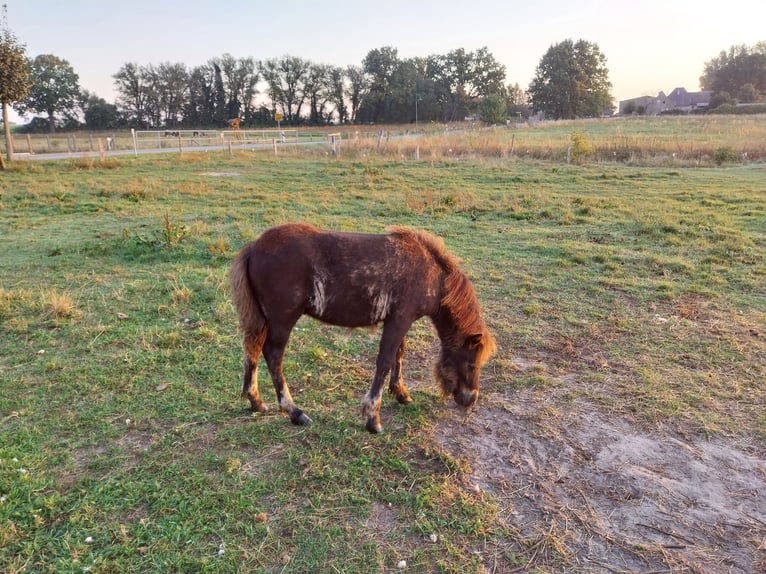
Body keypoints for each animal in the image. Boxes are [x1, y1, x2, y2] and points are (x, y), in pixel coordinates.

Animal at [231, 223, 498, 434]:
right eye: (472, 363)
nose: (470, 399)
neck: (431, 274)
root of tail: (254, 248)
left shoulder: (397, 320)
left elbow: (399, 354)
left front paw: (400, 393)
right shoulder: (400, 320)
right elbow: (385, 361)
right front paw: (373, 418)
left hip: (263, 319)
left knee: (253, 348)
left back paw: (256, 401)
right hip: (283, 320)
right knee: (273, 355)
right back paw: (294, 412)